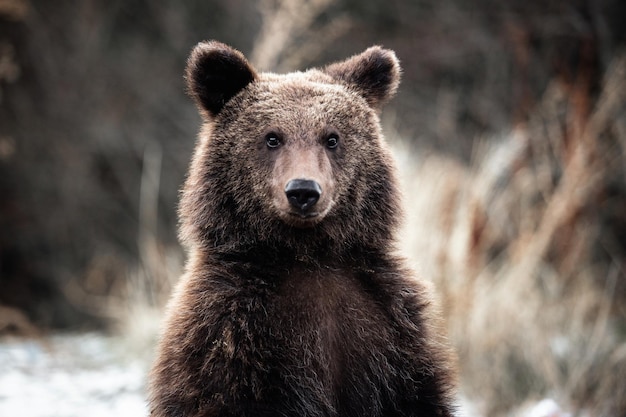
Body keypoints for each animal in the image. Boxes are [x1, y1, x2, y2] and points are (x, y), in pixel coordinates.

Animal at [149, 39, 456, 416]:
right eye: (272, 137)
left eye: (332, 138)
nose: (303, 191)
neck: (308, 255)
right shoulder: (229, 334)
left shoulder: (392, 332)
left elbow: (414, 393)